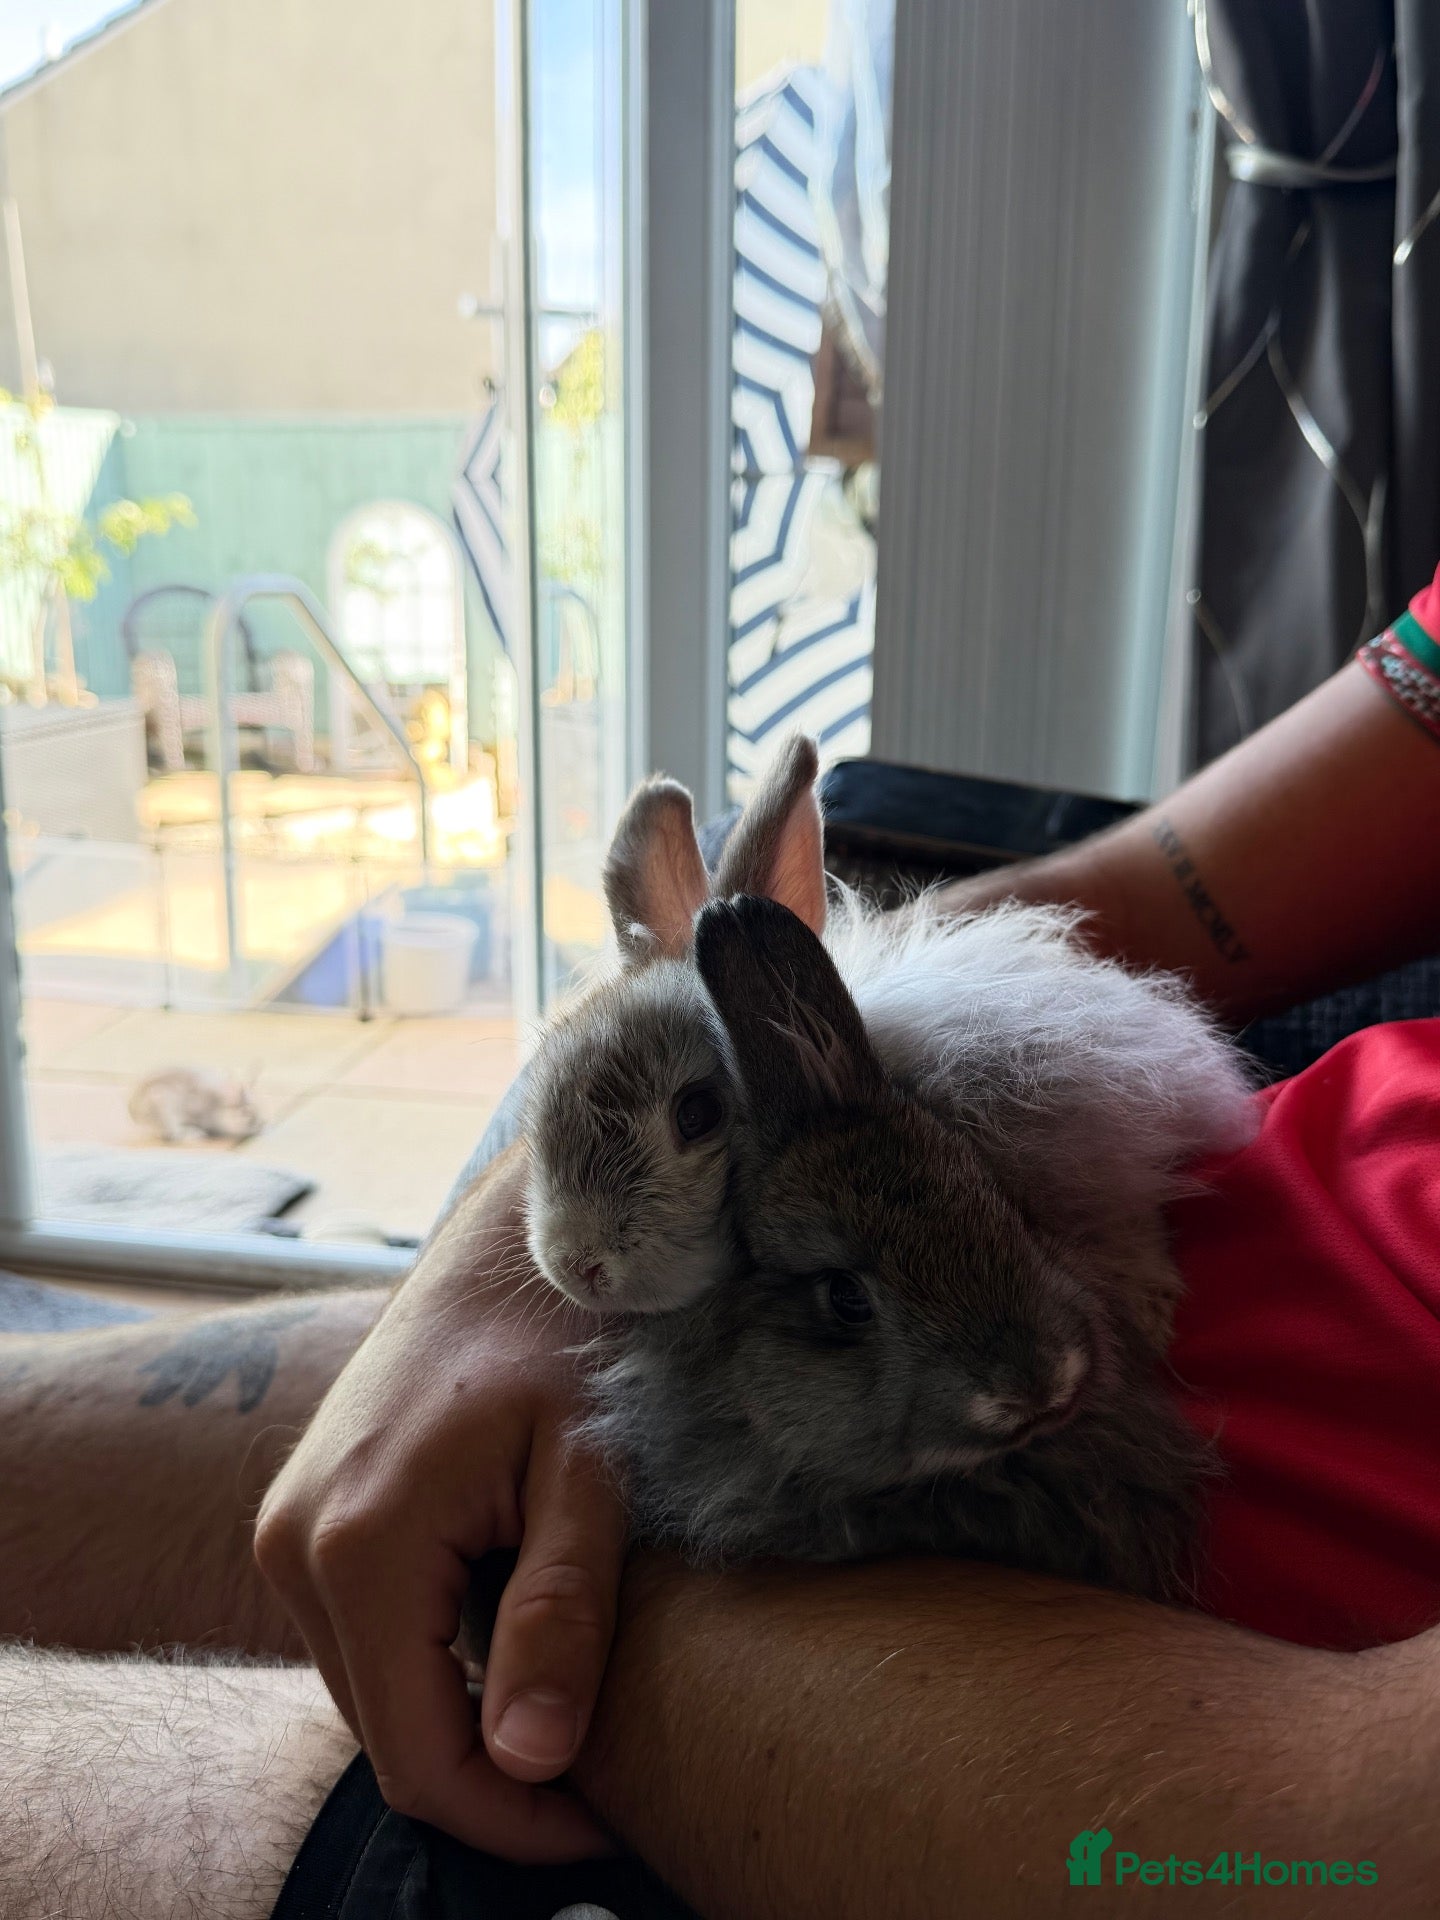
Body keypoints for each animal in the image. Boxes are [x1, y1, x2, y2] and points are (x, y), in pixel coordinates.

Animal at [128, 1066, 263, 1144]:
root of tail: (133, 1114)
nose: (259, 1128)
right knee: (174, 1134)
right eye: (246, 1113)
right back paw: (195, 1134)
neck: (216, 1104)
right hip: (164, 1109)